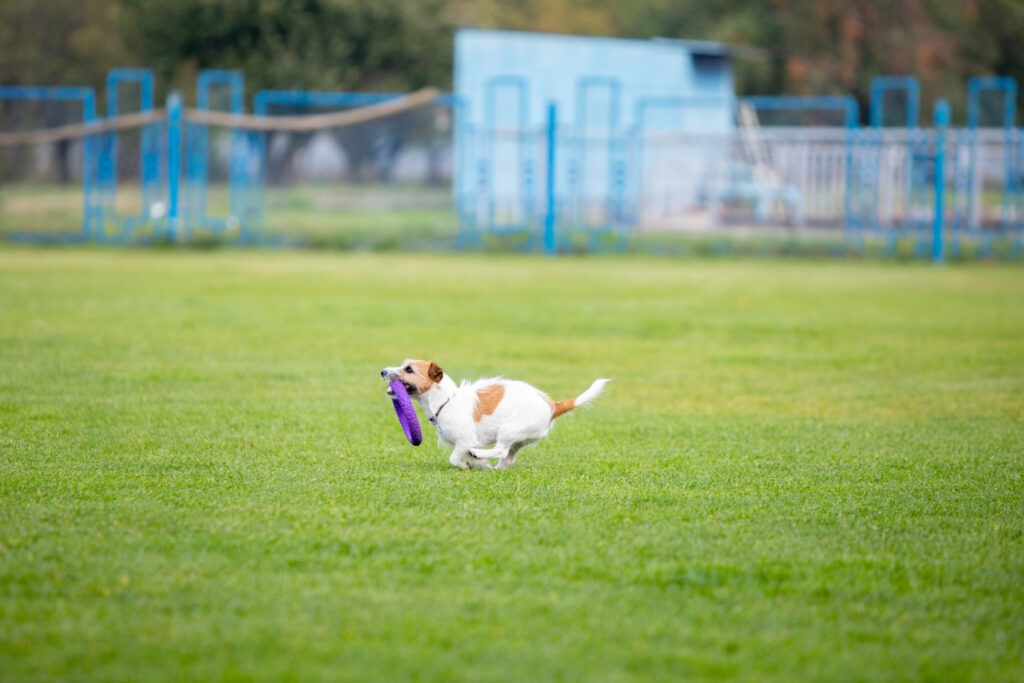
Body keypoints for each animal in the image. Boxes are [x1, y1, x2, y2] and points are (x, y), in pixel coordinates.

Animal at [382, 358, 606, 471]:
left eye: (409, 369)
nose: (382, 371)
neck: (446, 401)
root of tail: (552, 406)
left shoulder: (465, 440)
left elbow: (454, 458)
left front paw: (467, 463)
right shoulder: (467, 442)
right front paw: (480, 464)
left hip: (509, 430)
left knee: (501, 450)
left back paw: (480, 455)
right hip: (518, 439)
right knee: (507, 457)